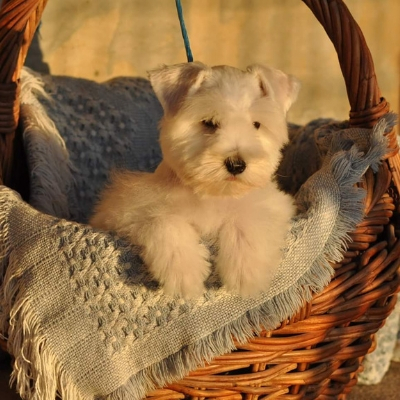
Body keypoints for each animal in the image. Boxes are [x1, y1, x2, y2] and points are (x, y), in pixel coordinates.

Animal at [89, 62, 298, 298]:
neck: (211, 194)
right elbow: (163, 221)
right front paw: (183, 273)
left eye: (256, 124)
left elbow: (247, 219)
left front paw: (245, 272)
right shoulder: (127, 211)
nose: (237, 165)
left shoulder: (272, 204)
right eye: (209, 122)